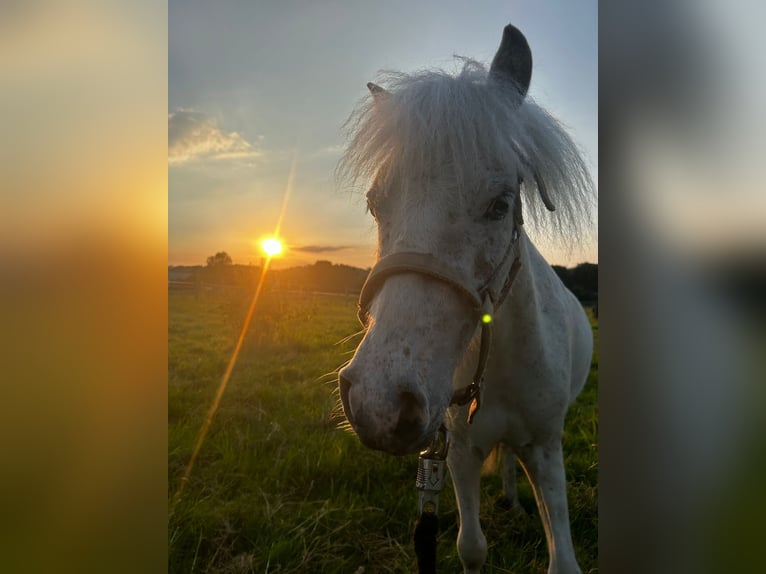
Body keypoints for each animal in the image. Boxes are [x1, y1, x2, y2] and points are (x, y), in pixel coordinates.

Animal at [337, 24, 595, 574]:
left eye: (500, 204)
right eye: (374, 204)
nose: (379, 402)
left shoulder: (547, 447)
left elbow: (562, 556)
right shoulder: (454, 452)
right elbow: (471, 548)